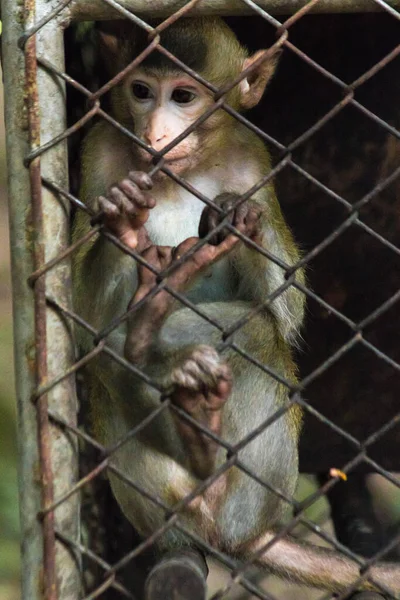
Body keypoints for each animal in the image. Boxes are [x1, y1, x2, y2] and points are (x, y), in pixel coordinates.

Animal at [72, 16, 400, 596]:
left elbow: (284, 311)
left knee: (256, 332)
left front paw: (241, 221)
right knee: (109, 357)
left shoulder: (253, 159)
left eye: (183, 97)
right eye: (141, 91)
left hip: (262, 494)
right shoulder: (99, 150)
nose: (156, 135)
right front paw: (124, 227)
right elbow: (81, 314)